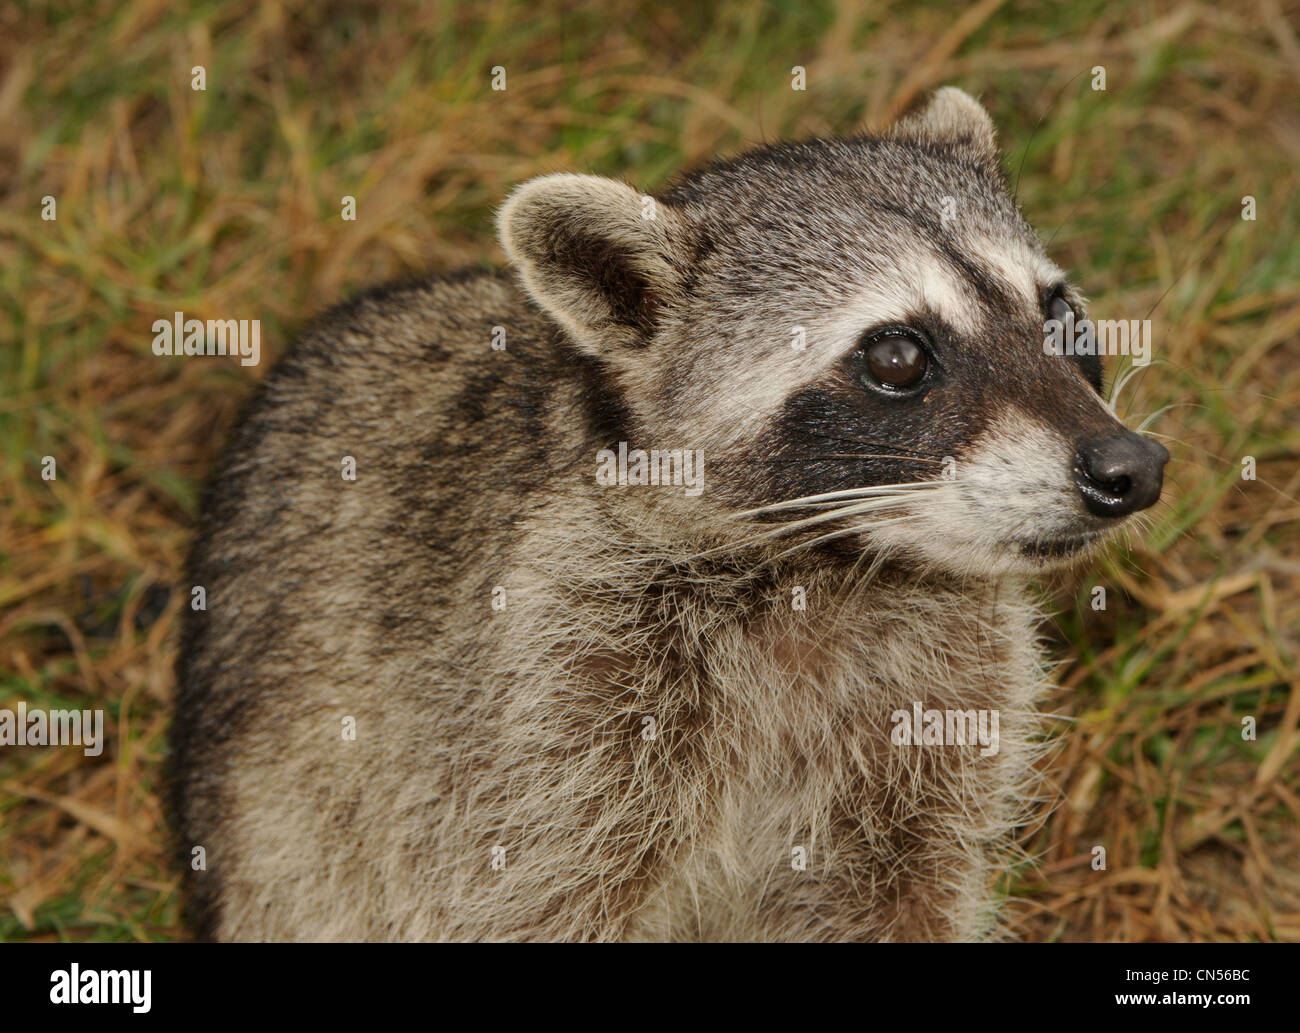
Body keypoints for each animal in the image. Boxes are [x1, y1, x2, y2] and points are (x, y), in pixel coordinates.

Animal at [167, 89, 1175, 940]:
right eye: (897, 355)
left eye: (1059, 311)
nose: (1130, 468)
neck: (831, 570)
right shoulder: (542, 701)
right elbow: (516, 892)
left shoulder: (933, 721)